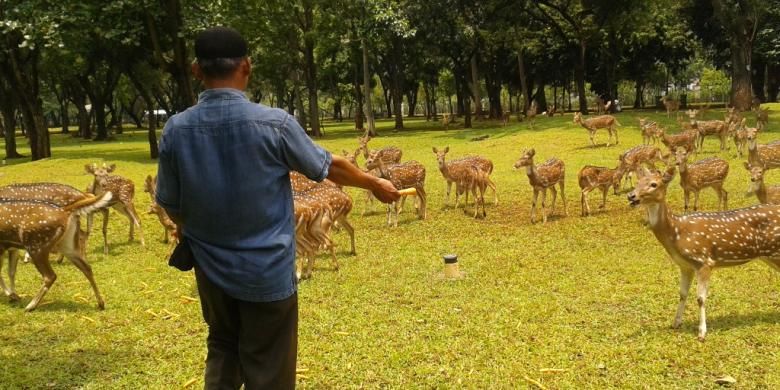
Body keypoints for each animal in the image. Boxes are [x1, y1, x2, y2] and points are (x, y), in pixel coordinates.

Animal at [624, 168, 780, 342]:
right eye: (637, 182)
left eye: (654, 184)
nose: (631, 196)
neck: (676, 233)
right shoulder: (685, 265)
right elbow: (682, 293)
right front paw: (676, 323)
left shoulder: (704, 261)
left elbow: (700, 298)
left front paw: (702, 333)